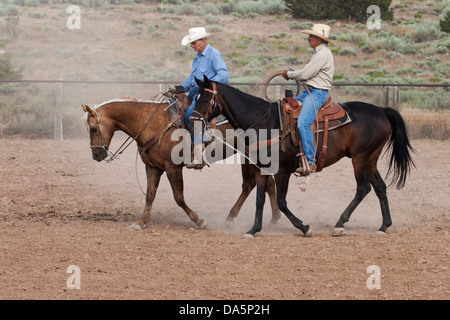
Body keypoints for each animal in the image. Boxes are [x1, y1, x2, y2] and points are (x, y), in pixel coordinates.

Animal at [80, 96, 278, 229]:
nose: (96, 154)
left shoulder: (172, 168)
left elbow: (178, 197)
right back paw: (271, 219)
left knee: (254, 184)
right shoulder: (152, 167)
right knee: (263, 184)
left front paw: (199, 221)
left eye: (93, 128)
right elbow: (150, 195)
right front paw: (141, 222)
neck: (152, 123)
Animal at [193, 76, 414, 238]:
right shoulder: (264, 169)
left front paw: (304, 227)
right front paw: (254, 229)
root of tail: (381, 110)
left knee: (363, 188)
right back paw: (383, 226)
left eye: (203, 99)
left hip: (360, 158)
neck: (265, 122)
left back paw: (340, 224)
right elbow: (259, 199)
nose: (193, 119)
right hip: (370, 159)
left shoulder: (282, 171)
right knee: (380, 187)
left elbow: (281, 201)